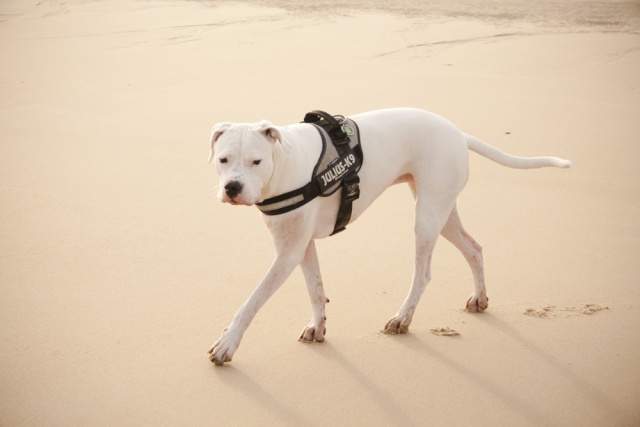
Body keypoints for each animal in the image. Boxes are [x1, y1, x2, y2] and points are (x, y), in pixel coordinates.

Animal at [206, 108, 568, 366]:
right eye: (223, 159)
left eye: (256, 161)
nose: (233, 187)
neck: (283, 161)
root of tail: (457, 132)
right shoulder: (300, 246)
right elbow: (315, 289)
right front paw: (319, 327)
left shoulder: (288, 253)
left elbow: (252, 301)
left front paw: (227, 343)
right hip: (442, 212)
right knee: (474, 248)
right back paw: (479, 298)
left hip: (426, 217)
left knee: (423, 273)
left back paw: (403, 318)